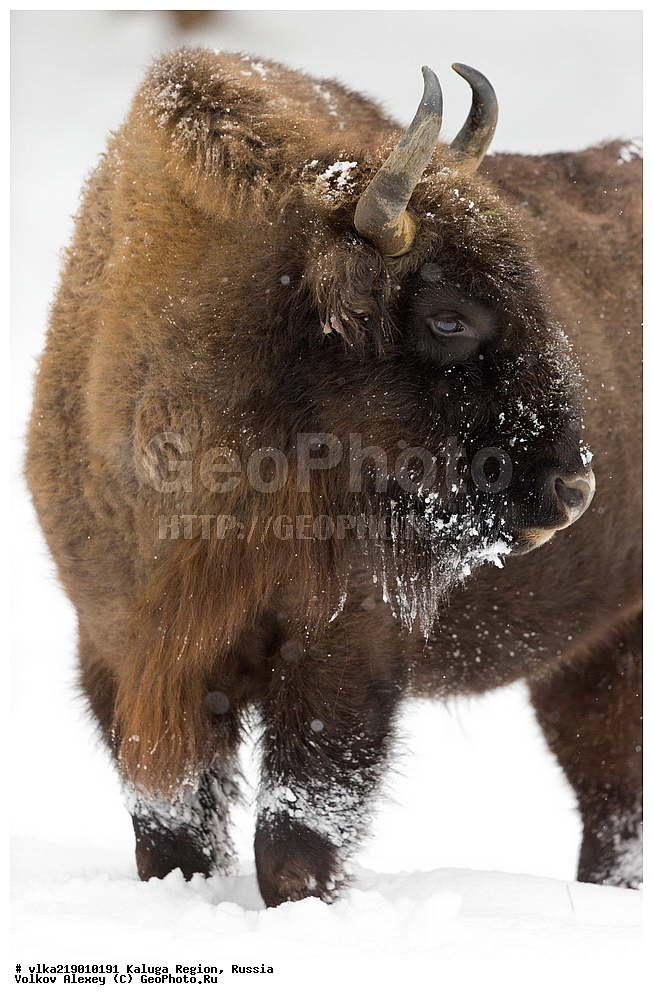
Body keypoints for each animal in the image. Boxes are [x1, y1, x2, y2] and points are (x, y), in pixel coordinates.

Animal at [26, 49, 641, 906]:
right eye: (447, 316)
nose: (570, 491)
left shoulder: (340, 656)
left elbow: (293, 838)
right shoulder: (123, 652)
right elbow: (174, 832)